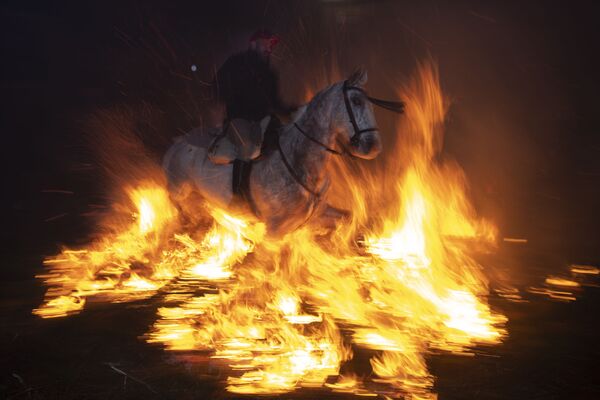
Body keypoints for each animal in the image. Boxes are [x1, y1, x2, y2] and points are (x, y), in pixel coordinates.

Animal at [162, 69, 382, 236]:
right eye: (356, 101)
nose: (373, 147)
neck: (297, 161)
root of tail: (176, 144)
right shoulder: (275, 233)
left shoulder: (319, 213)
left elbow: (348, 217)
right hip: (180, 190)